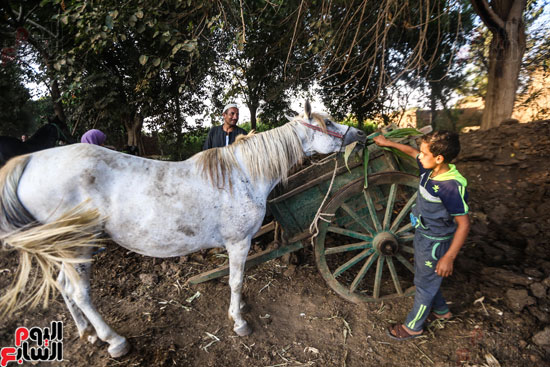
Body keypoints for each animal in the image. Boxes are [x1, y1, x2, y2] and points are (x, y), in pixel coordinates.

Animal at [2, 101, 368, 360]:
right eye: (328, 123)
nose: (361, 136)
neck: (243, 174)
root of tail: (30, 161)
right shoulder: (239, 243)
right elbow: (236, 281)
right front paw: (239, 322)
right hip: (78, 248)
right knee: (80, 293)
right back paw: (114, 341)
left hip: (65, 250)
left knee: (64, 287)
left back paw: (87, 333)